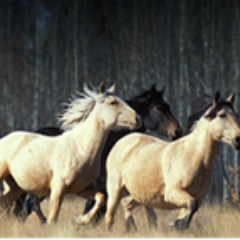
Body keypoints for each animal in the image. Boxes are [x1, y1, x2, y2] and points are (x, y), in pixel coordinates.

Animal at [104, 92, 240, 231]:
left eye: (236, 115)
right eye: (222, 115)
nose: (238, 139)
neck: (195, 157)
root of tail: (122, 141)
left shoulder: (196, 198)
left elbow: (191, 211)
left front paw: (177, 225)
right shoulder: (172, 192)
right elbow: (192, 205)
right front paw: (175, 224)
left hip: (141, 196)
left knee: (126, 204)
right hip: (115, 190)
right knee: (110, 216)